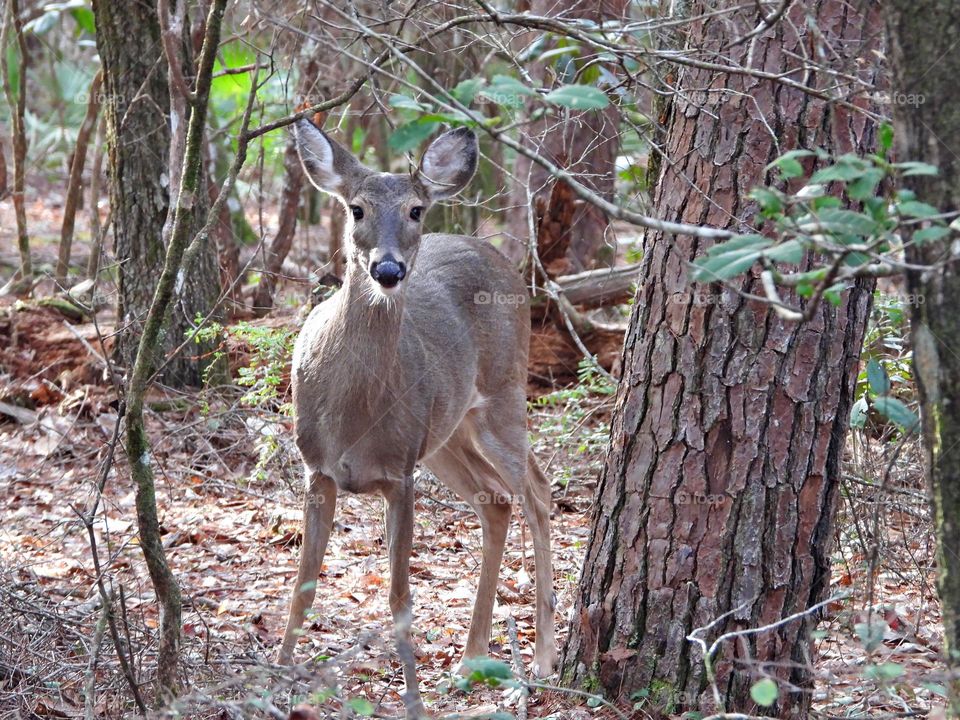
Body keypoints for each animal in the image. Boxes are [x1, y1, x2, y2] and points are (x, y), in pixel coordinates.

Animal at [278, 118, 560, 716]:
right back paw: (471, 658)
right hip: (446, 433)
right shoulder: (317, 468)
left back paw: (543, 660)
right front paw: (275, 675)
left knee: (537, 492)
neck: (353, 415)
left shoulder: (399, 472)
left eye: (415, 210)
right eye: (356, 208)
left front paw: (412, 700)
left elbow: (399, 594)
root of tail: (498, 254)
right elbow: (303, 583)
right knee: (495, 499)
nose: (387, 269)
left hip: (501, 394)